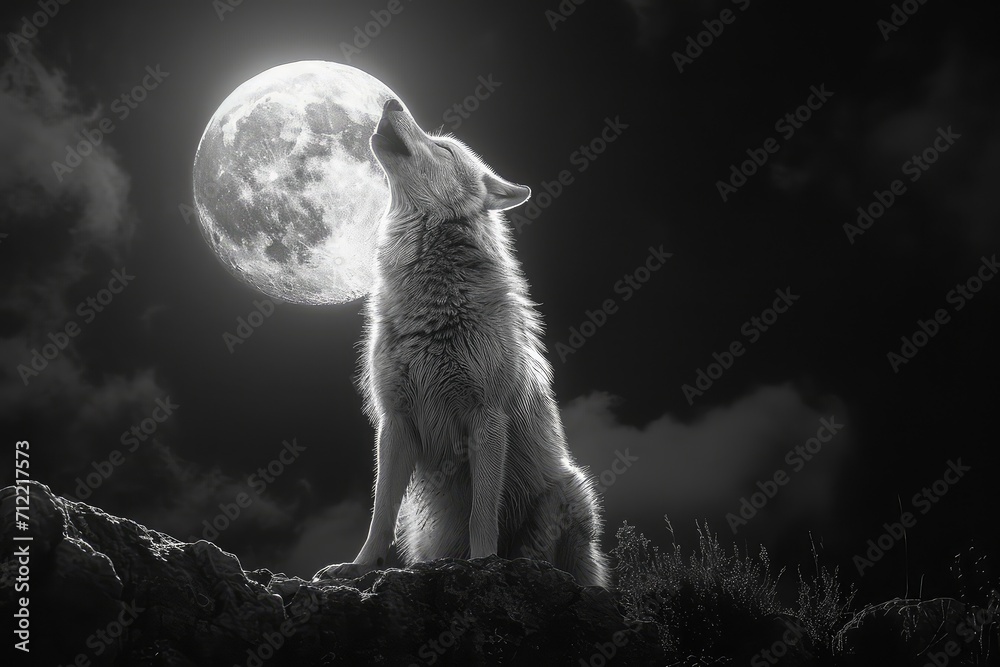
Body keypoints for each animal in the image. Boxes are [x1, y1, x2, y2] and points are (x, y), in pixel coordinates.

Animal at [313, 99, 609, 588]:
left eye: (444, 149)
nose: (389, 100)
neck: (432, 307)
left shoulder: (486, 418)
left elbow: (482, 514)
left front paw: (483, 564)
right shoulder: (394, 421)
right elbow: (380, 512)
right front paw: (358, 567)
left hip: (570, 492)